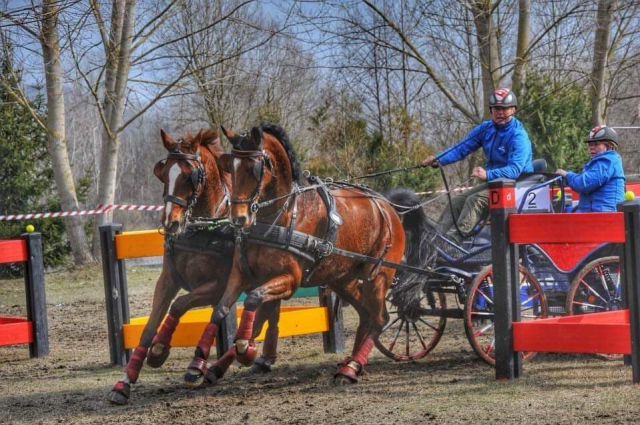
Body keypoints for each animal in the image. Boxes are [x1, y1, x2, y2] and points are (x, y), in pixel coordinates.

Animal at [106, 129, 282, 404]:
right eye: (163, 172)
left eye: (191, 175)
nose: (170, 223)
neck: (202, 227)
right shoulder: (167, 281)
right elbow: (149, 327)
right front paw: (125, 382)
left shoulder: (217, 287)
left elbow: (179, 305)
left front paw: (165, 352)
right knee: (268, 312)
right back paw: (260, 359)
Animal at [205, 123, 436, 384]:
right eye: (229, 166)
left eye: (253, 168)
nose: (238, 218)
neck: (283, 214)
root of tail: (388, 207)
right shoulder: (241, 275)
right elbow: (222, 310)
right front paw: (212, 366)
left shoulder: (290, 279)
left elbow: (254, 301)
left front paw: (245, 348)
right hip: (341, 279)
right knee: (366, 316)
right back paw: (352, 363)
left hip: (378, 275)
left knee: (379, 319)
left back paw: (351, 367)